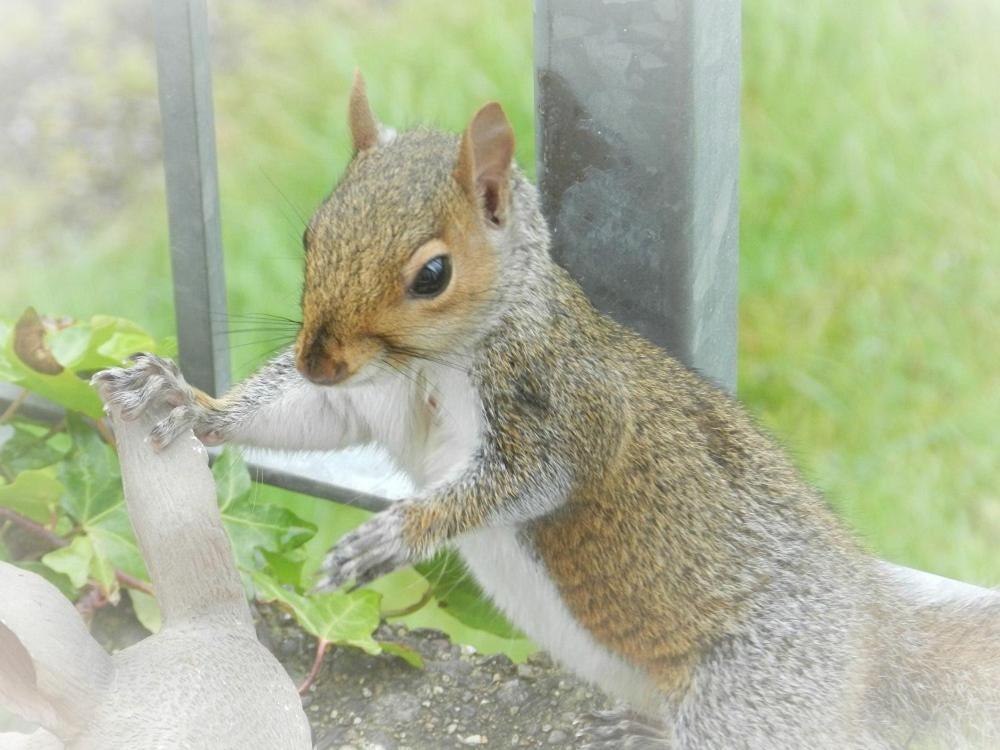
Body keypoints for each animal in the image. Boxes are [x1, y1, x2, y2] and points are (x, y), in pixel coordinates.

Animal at [95, 73, 1000, 748]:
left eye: (432, 274)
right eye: (313, 234)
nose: (319, 359)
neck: (437, 365)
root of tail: (874, 639)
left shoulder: (566, 406)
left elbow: (527, 480)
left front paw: (397, 534)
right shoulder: (368, 395)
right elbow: (309, 419)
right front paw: (186, 401)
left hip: (756, 692)